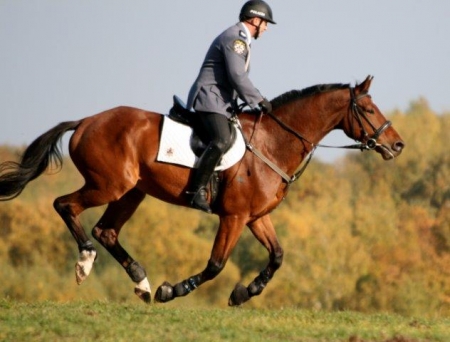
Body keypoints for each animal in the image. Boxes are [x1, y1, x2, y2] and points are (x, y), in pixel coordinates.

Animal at [0, 76, 404, 306]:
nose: (397, 145)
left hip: (132, 192)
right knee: (64, 205)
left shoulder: (256, 217)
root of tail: (85, 121)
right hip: (107, 185)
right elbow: (215, 265)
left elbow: (277, 256)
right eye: (369, 109)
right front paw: (172, 291)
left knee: (107, 230)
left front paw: (244, 294)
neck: (274, 142)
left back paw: (141, 282)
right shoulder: (234, 217)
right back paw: (86, 263)